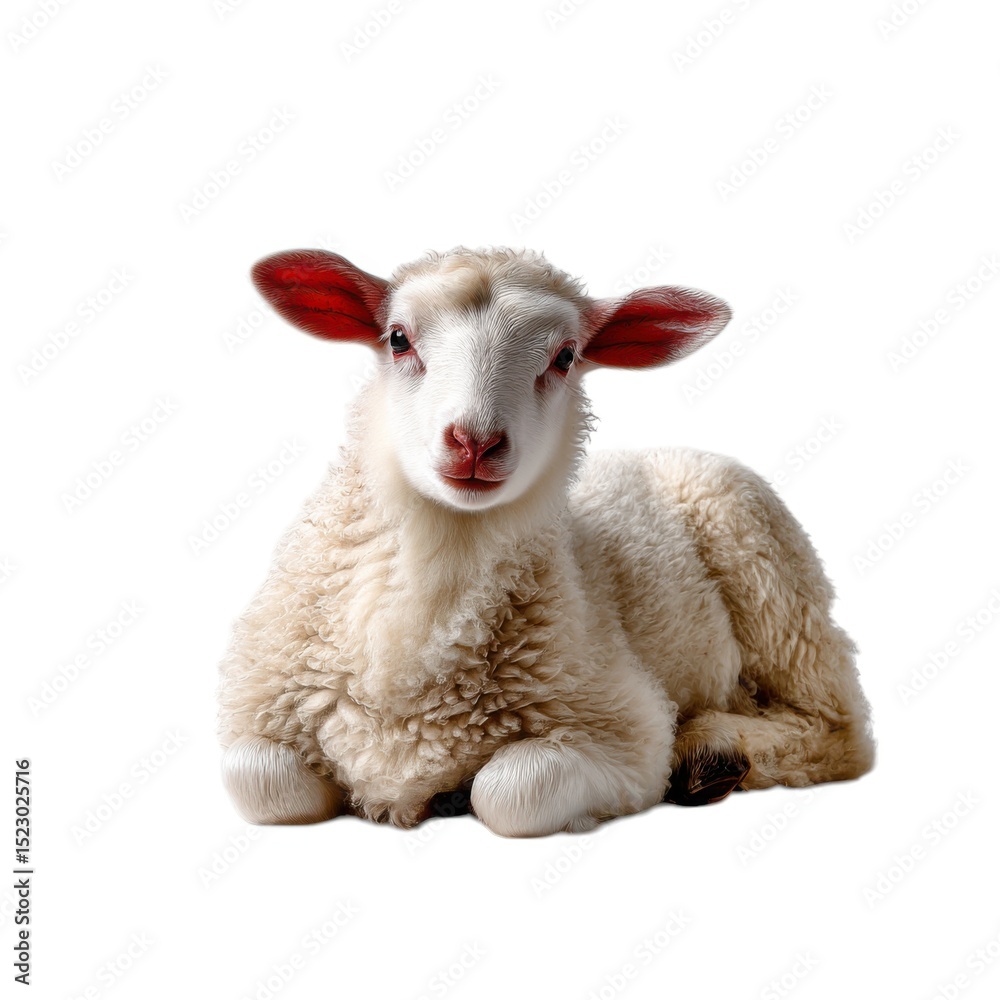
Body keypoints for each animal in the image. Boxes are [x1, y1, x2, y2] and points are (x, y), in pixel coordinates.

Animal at [217, 246, 875, 837]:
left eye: (565, 356)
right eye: (398, 339)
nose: (474, 442)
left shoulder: (624, 727)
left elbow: (512, 793)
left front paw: (457, 795)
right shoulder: (262, 709)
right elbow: (261, 783)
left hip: (771, 579)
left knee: (836, 728)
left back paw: (711, 755)